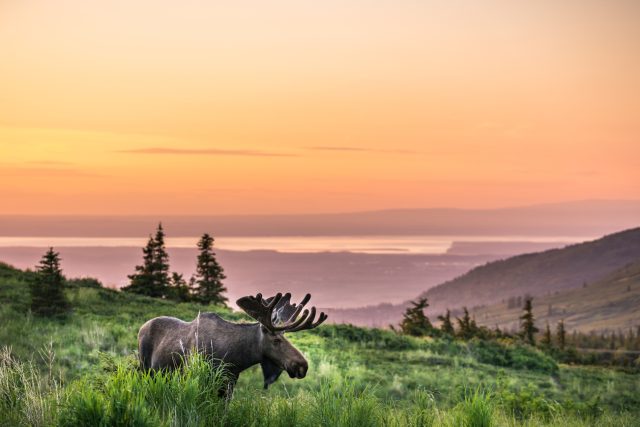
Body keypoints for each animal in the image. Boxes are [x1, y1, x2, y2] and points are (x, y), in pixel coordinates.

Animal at [137, 292, 327, 396]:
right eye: (276, 340)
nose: (302, 366)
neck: (234, 358)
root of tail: (142, 326)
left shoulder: (229, 384)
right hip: (145, 368)